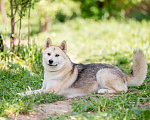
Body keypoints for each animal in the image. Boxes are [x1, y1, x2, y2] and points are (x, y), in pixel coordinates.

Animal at [17, 38, 148, 98]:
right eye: (49, 54)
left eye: (57, 55)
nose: (50, 61)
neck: (54, 73)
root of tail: (123, 72)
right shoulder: (43, 89)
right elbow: (30, 91)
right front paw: (19, 93)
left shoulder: (50, 92)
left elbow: (32, 94)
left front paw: (21, 96)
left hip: (101, 73)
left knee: (123, 90)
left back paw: (102, 91)